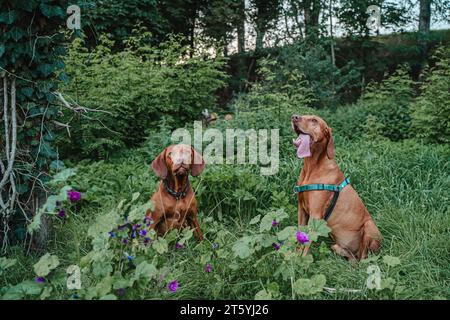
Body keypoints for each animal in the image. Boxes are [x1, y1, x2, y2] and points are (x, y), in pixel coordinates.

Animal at [292, 115, 380, 260]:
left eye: (314, 120)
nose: (294, 117)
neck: (313, 167)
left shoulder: (315, 214)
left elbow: (308, 242)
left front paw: (302, 260)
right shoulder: (301, 209)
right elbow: (300, 235)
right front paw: (293, 256)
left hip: (369, 226)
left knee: (363, 257)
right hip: (337, 246)